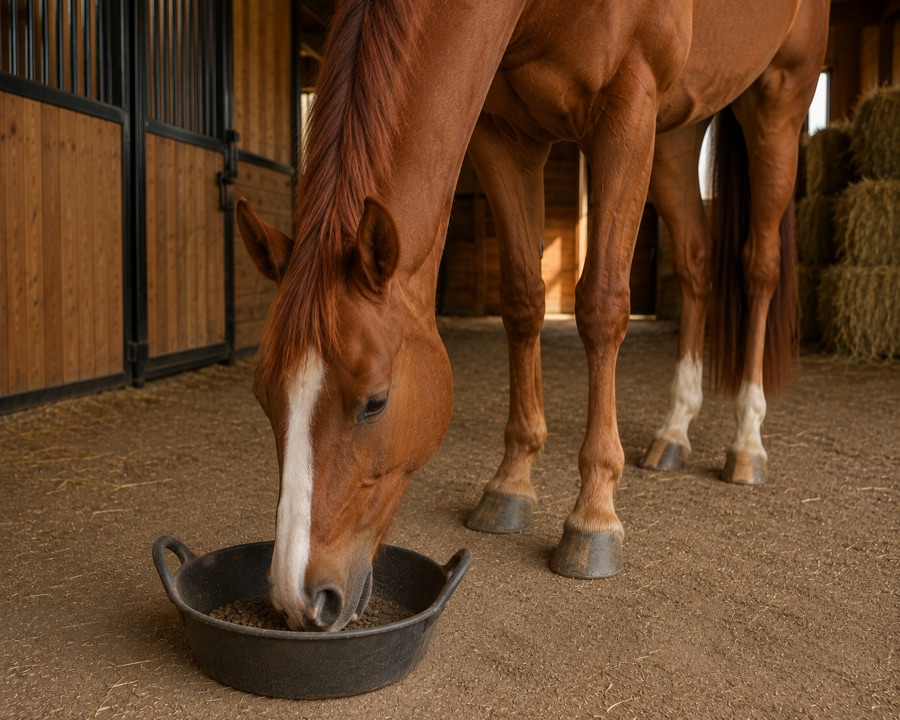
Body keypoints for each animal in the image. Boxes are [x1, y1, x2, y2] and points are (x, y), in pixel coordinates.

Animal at [235, 0, 830, 630]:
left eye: (375, 401)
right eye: (263, 396)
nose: (298, 599)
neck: (539, 13)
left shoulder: (629, 107)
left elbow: (601, 305)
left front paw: (594, 516)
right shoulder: (505, 134)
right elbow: (522, 298)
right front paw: (510, 485)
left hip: (778, 101)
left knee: (758, 269)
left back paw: (747, 440)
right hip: (678, 130)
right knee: (695, 265)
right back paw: (674, 431)